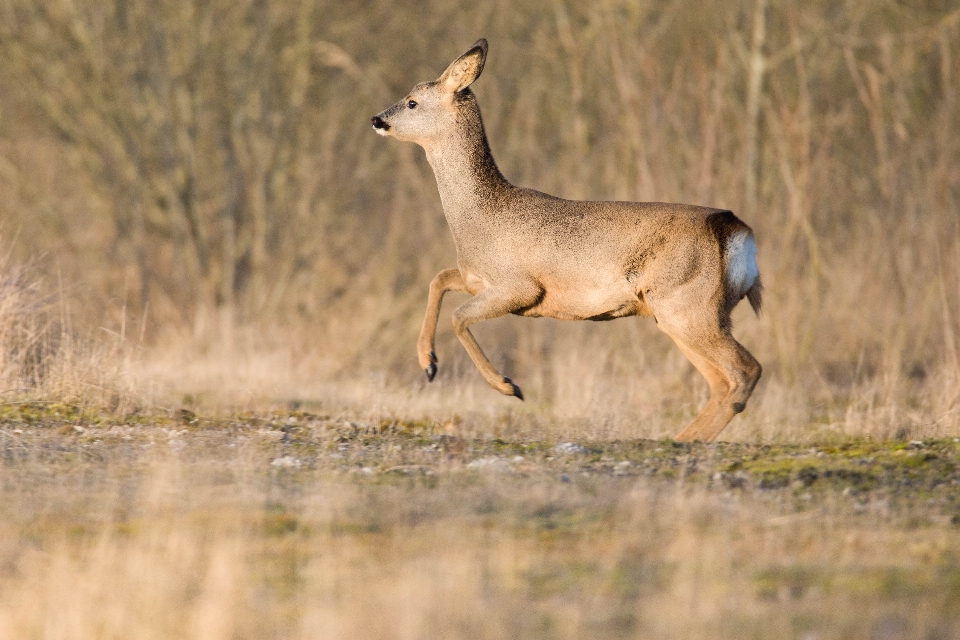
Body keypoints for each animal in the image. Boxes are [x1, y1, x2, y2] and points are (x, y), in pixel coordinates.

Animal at [372, 38, 760, 440]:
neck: (479, 216)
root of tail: (737, 233)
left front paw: (508, 386)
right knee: (723, 381)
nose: (377, 119)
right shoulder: (477, 278)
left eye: (412, 101)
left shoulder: (519, 287)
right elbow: (439, 280)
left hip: (687, 305)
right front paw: (428, 363)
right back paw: (685, 439)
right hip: (686, 312)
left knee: (744, 371)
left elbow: (459, 317)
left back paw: (683, 441)